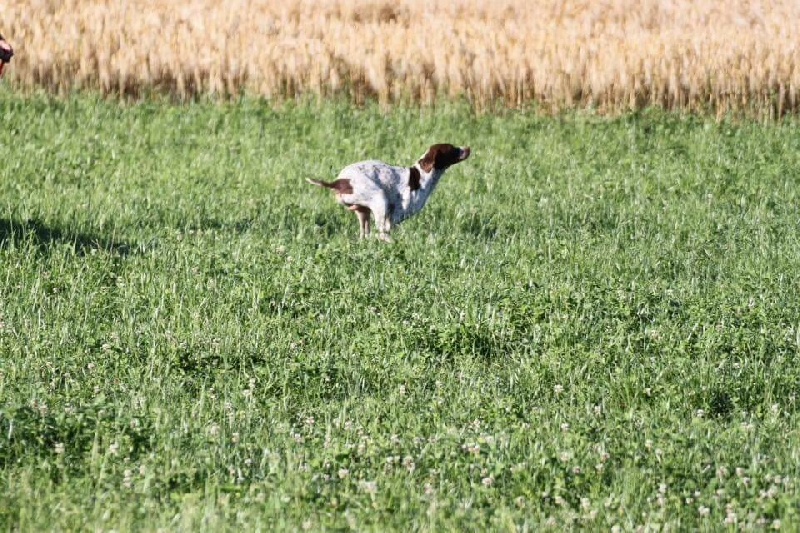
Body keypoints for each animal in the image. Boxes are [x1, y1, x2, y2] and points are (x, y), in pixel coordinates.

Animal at [306, 142, 468, 240]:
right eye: (453, 149)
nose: (468, 148)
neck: (422, 175)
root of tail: (340, 181)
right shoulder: (394, 216)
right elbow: (387, 228)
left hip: (364, 212)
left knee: (366, 234)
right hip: (379, 199)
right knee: (380, 233)